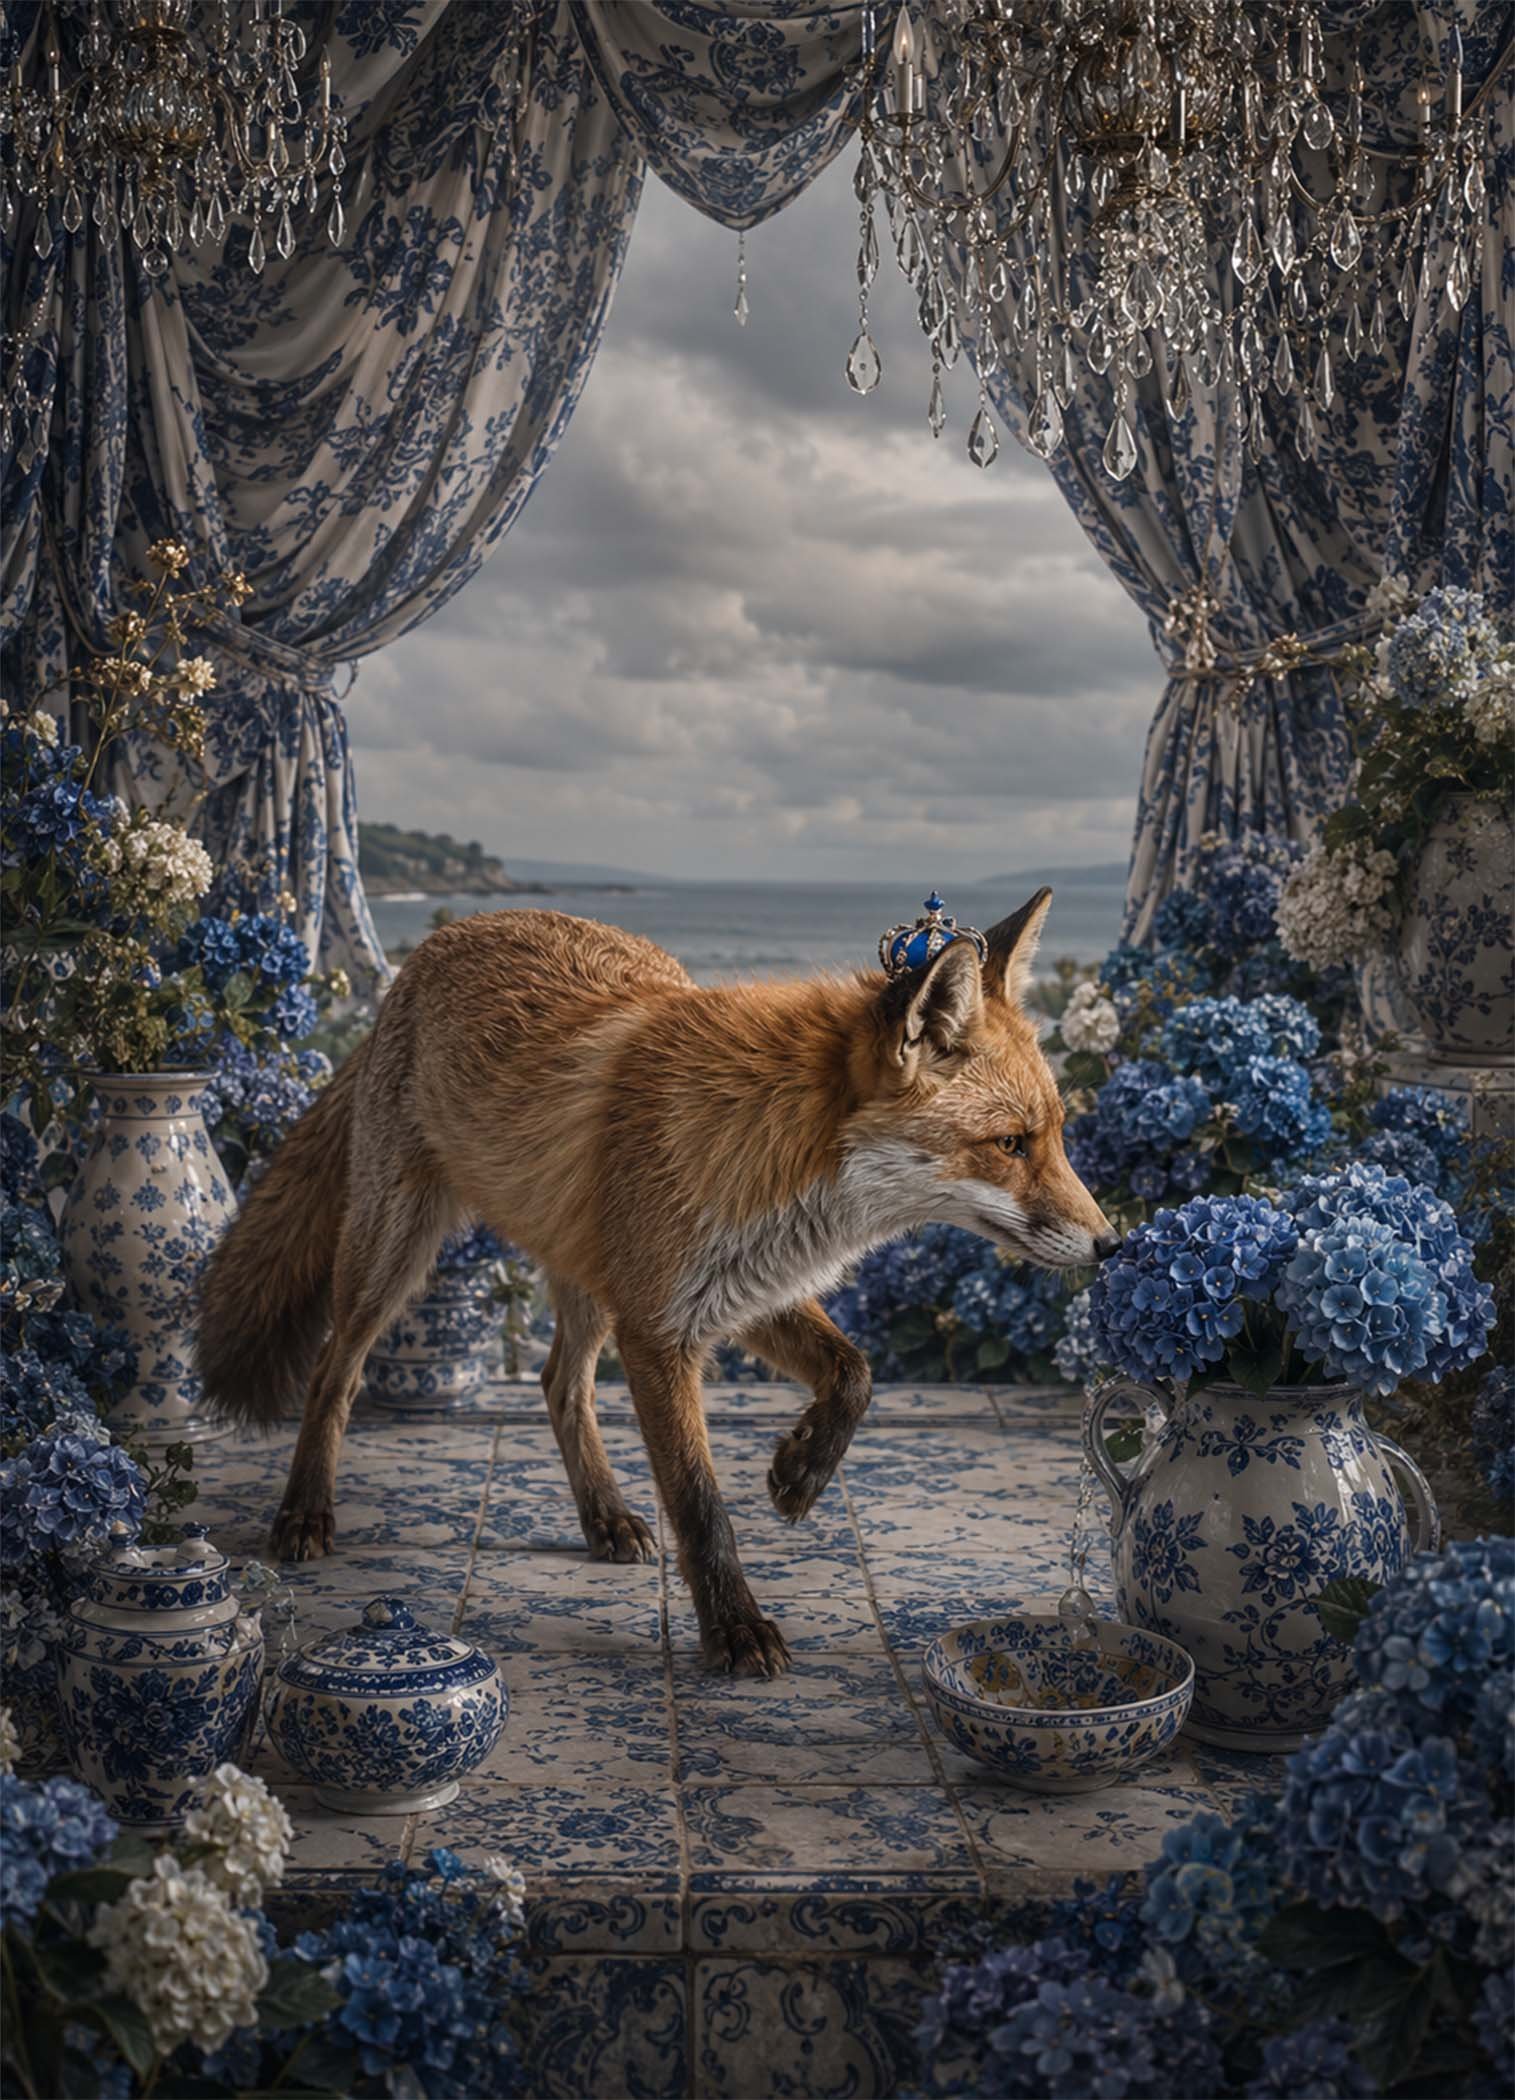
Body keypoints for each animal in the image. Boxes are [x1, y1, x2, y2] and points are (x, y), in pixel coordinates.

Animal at [196, 887, 1117, 1678]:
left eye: (1055, 1134)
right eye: (1010, 1144)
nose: (1112, 1246)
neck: (773, 1146)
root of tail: (437, 945)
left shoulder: (739, 1292)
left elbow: (855, 1373)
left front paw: (801, 1472)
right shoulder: (660, 1329)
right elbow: (699, 1501)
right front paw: (735, 1628)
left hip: (583, 1271)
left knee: (558, 1383)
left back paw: (602, 1514)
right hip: (395, 1250)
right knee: (334, 1372)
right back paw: (305, 1511)